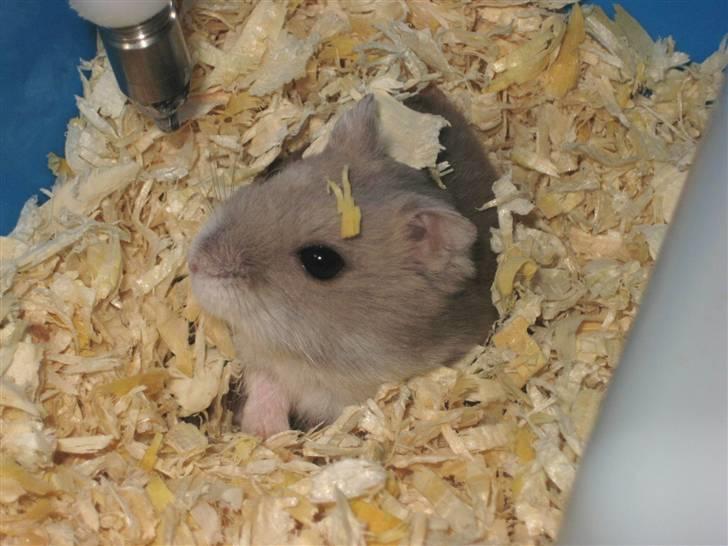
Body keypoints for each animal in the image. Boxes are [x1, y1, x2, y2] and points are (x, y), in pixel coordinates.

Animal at [188, 86, 498, 438]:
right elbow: (265, 381)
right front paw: (263, 432)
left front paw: (270, 434)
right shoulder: (262, 356)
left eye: (321, 261)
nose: (194, 263)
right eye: (274, 174)